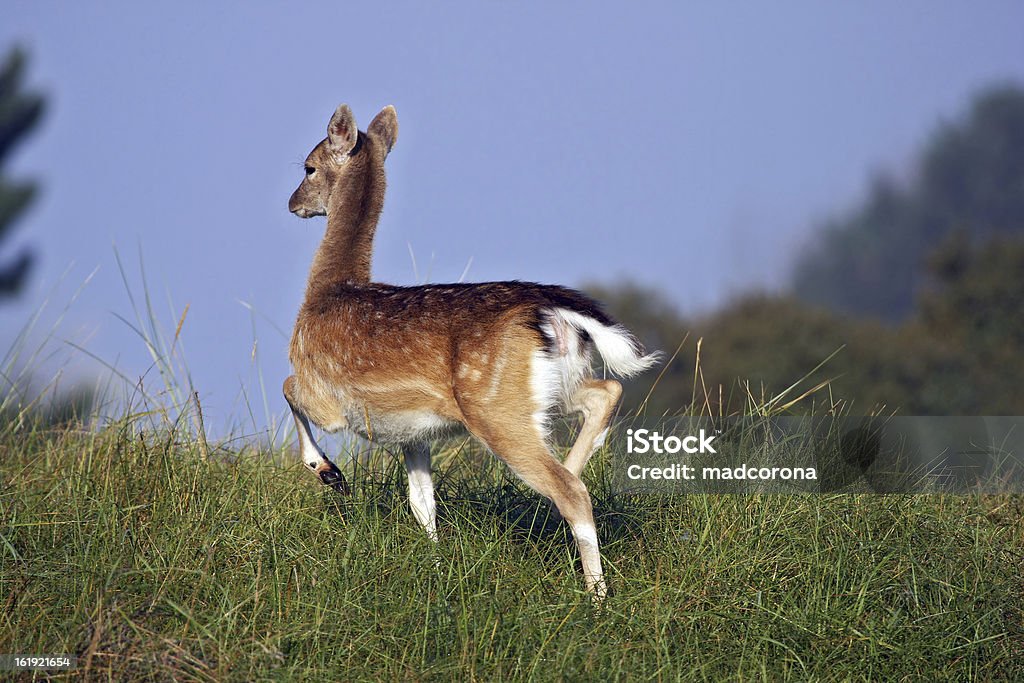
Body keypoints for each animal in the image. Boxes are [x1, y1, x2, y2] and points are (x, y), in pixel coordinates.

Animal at [284, 102, 659, 598]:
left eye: (308, 167)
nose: (293, 203)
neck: (327, 293)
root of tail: (552, 310)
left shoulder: (329, 397)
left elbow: (288, 387)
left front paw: (329, 472)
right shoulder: (414, 433)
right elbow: (422, 501)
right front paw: (436, 564)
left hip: (495, 407)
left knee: (572, 490)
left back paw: (595, 594)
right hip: (549, 390)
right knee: (606, 393)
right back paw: (574, 469)